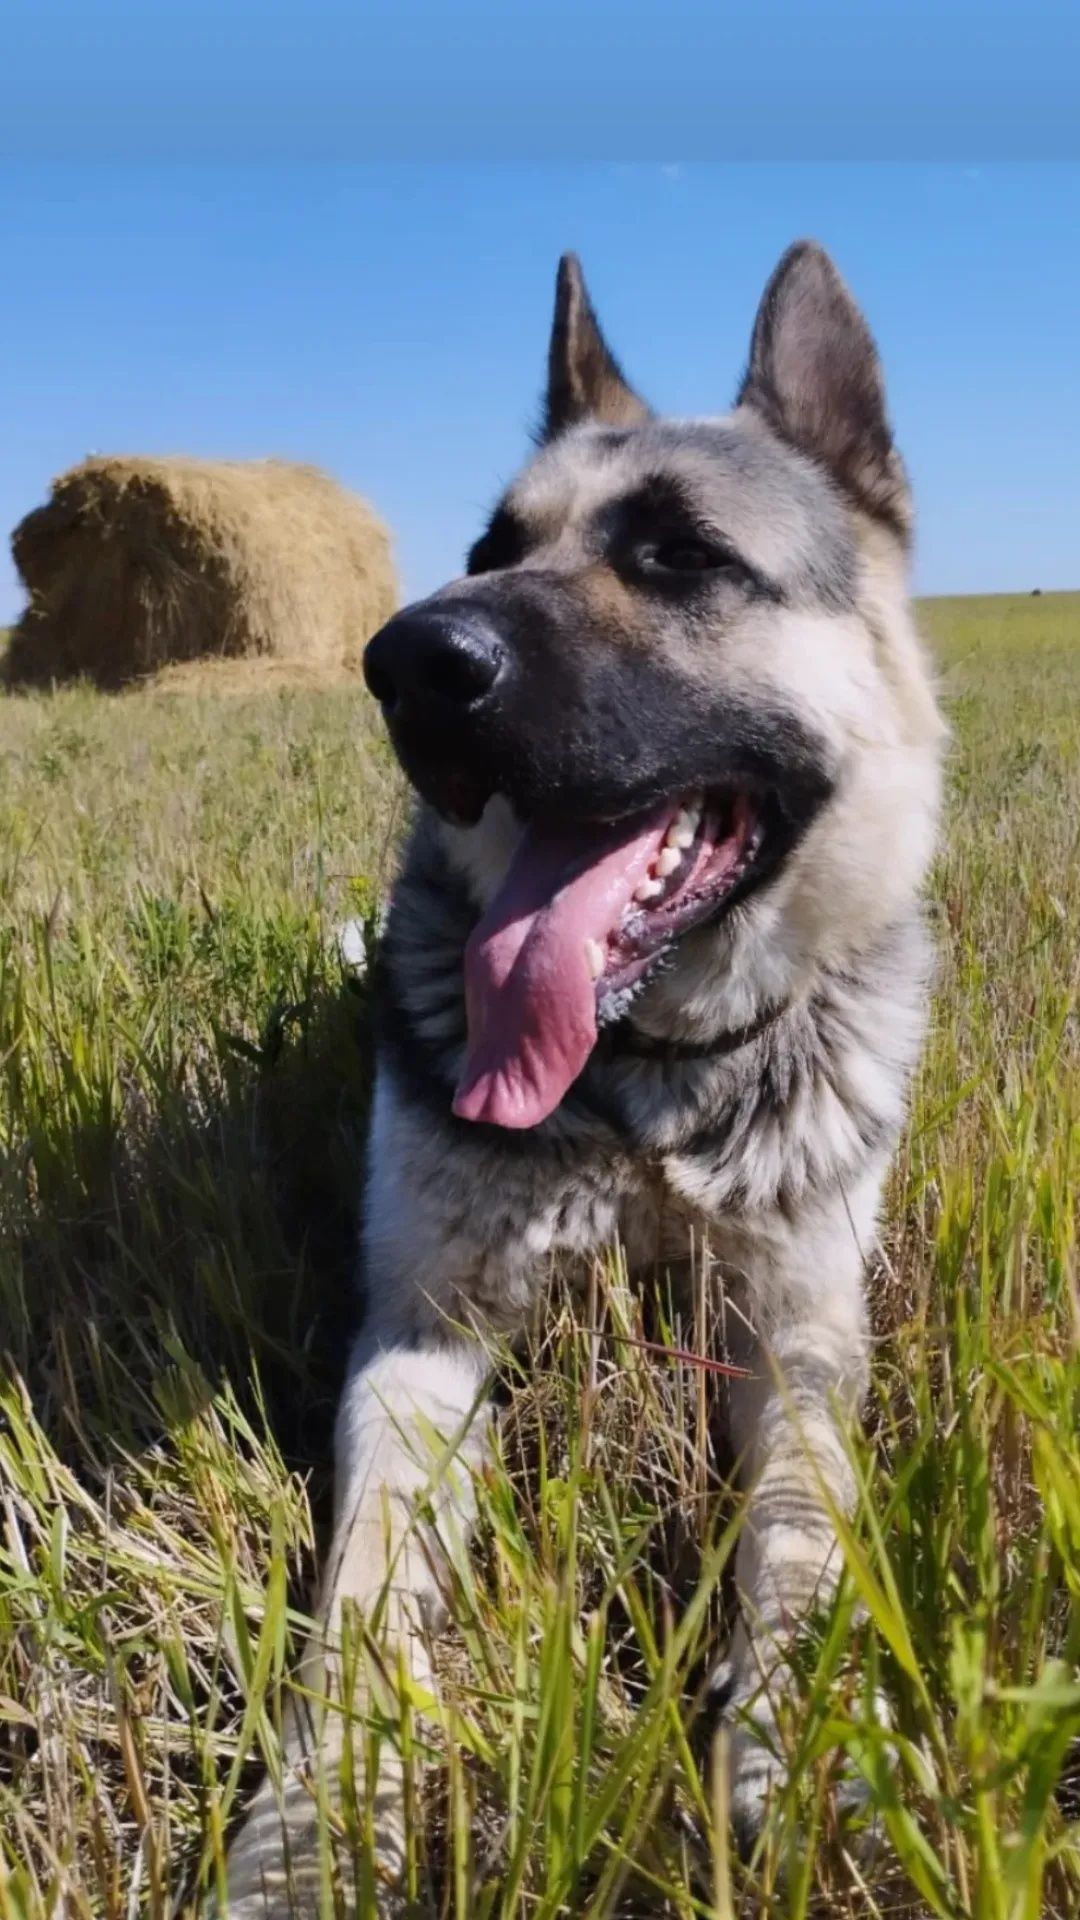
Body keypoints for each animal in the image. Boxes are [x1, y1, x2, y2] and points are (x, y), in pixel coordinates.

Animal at [224, 236, 941, 1904]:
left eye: (680, 555)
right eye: (490, 545)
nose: (408, 659)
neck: (643, 1089)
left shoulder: (796, 1335)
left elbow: (799, 1535)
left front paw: (798, 1746)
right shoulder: (421, 1338)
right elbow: (359, 1603)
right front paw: (311, 1826)